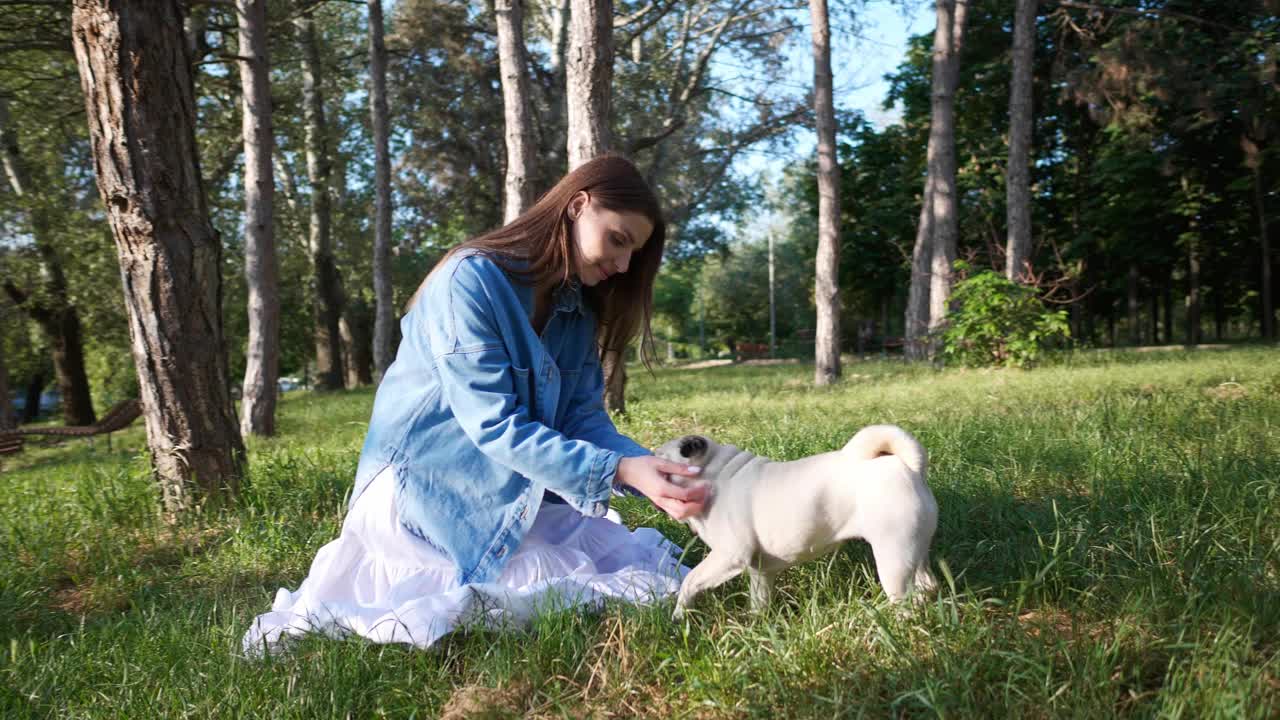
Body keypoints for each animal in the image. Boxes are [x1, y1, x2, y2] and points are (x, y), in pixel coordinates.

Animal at [655, 420, 936, 617]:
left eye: (661, 467)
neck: (714, 475)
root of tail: (908, 467)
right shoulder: (760, 572)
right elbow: (759, 600)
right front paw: (756, 623)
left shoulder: (729, 556)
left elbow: (690, 581)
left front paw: (679, 615)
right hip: (914, 550)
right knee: (926, 584)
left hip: (893, 557)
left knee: (904, 600)